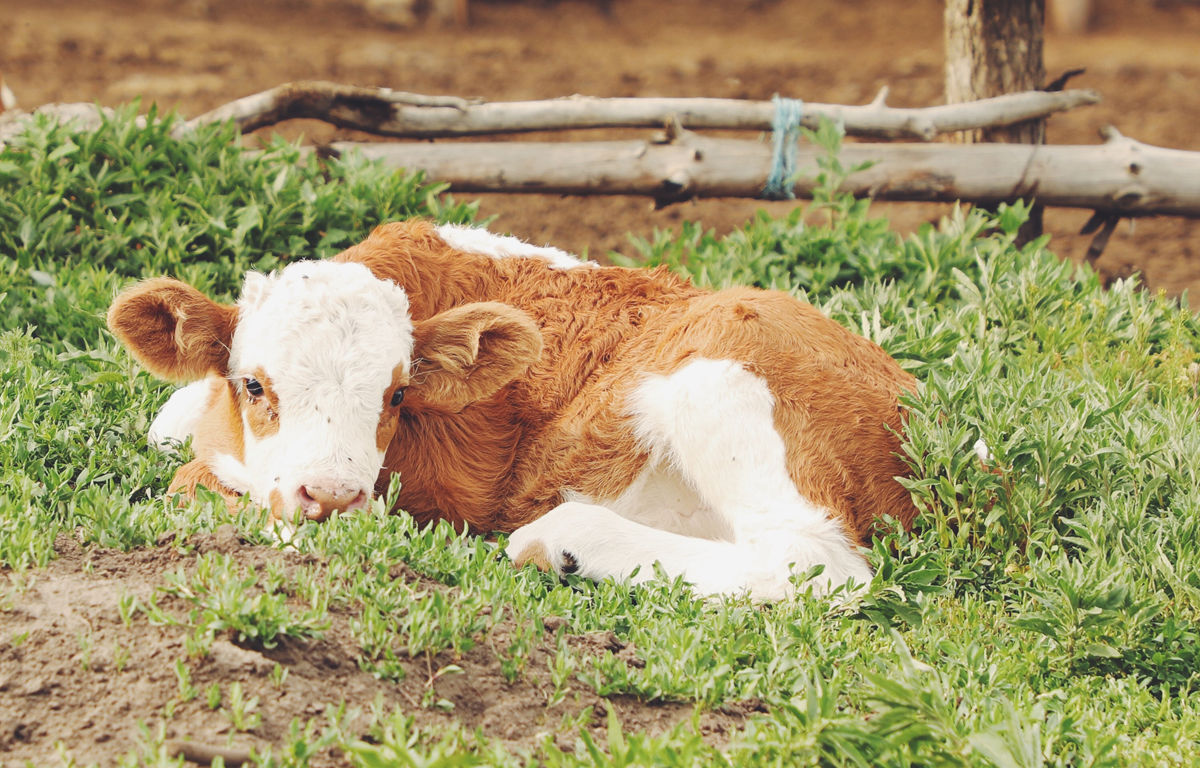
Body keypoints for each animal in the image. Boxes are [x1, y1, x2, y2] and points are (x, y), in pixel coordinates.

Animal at [107, 220, 917, 600]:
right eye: (254, 386)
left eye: (396, 394)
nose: (331, 497)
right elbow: (171, 426)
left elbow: (193, 485)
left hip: (720, 374)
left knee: (819, 562)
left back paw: (562, 541)